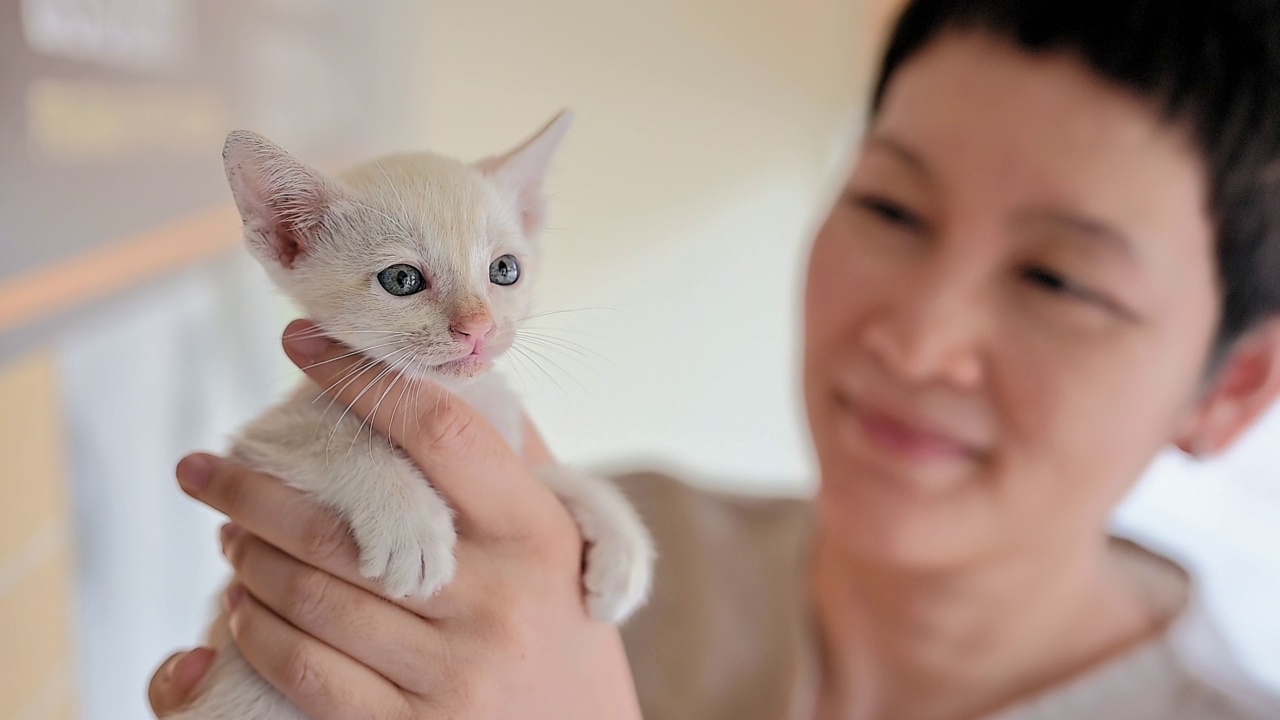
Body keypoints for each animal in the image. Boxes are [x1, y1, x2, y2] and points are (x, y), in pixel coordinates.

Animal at [168, 112, 650, 717]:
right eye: (402, 279)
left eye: (504, 270)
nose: (478, 328)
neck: (452, 396)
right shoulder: (260, 438)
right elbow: (335, 441)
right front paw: (409, 525)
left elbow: (556, 481)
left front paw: (622, 543)